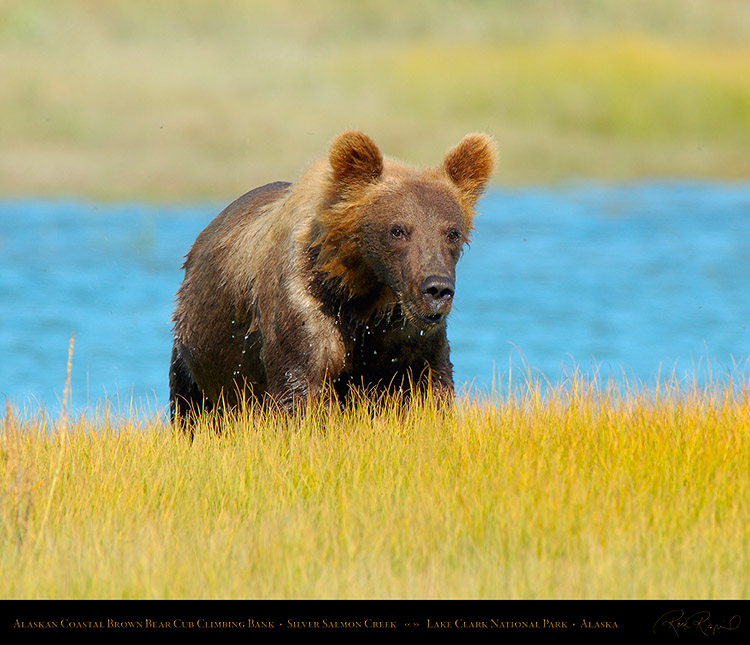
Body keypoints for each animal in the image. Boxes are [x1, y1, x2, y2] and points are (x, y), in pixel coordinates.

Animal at [171, 131, 500, 422]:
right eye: (397, 230)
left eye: (452, 232)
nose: (436, 289)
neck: (364, 292)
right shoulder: (306, 304)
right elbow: (302, 389)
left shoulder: (406, 333)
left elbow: (430, 388)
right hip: (194, 350)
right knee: (191, 409)